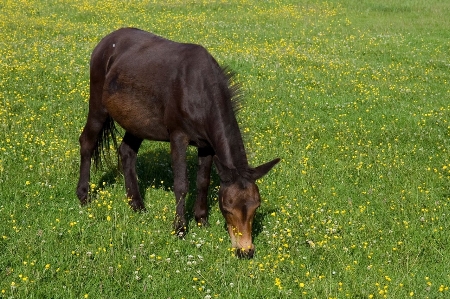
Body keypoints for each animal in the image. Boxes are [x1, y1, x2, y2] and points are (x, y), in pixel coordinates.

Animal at [78, 27, 282, 258]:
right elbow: (181, 184)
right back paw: (83, 196)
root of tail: (107, 40)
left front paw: (201, 220)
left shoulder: (206, 145)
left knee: (127, 151)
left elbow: (203, 181)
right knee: (87, 142)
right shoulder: (178, 137)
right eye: (228, 208)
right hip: (98, 105)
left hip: (137, 120)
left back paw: (137, 204)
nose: (245, 251)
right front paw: (180, 228)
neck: (200, 90)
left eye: (256, 207)